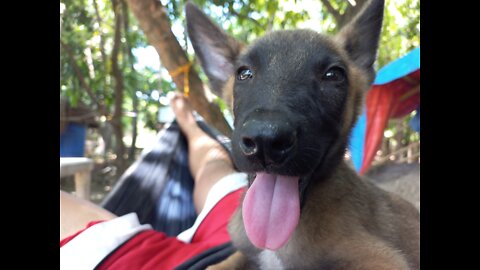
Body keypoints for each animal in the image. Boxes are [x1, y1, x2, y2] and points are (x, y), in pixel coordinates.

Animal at [186, 0, 418, 268]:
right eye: (244, 73)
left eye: (333, 75)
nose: (265, 141)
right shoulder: (245, 252)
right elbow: (219, 263)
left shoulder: (383, 259)